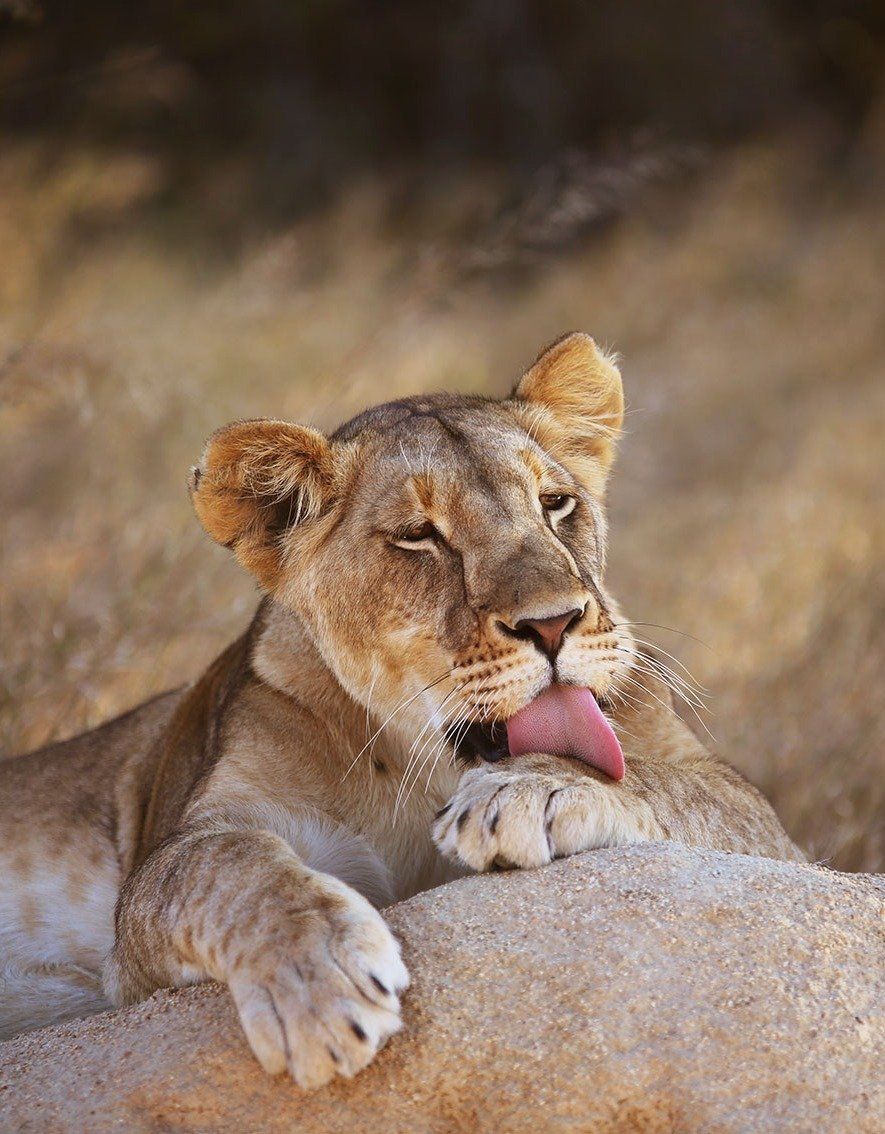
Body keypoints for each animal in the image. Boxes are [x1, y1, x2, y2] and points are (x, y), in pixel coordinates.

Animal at [0, 333, 802, 1084]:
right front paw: (320, 988)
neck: (426, 766)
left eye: (555, 503)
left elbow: (660, 781)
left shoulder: (761, 826)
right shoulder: (163, 880)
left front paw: (530, 791)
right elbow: (232, 864)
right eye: (420, 536)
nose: (554, 624)